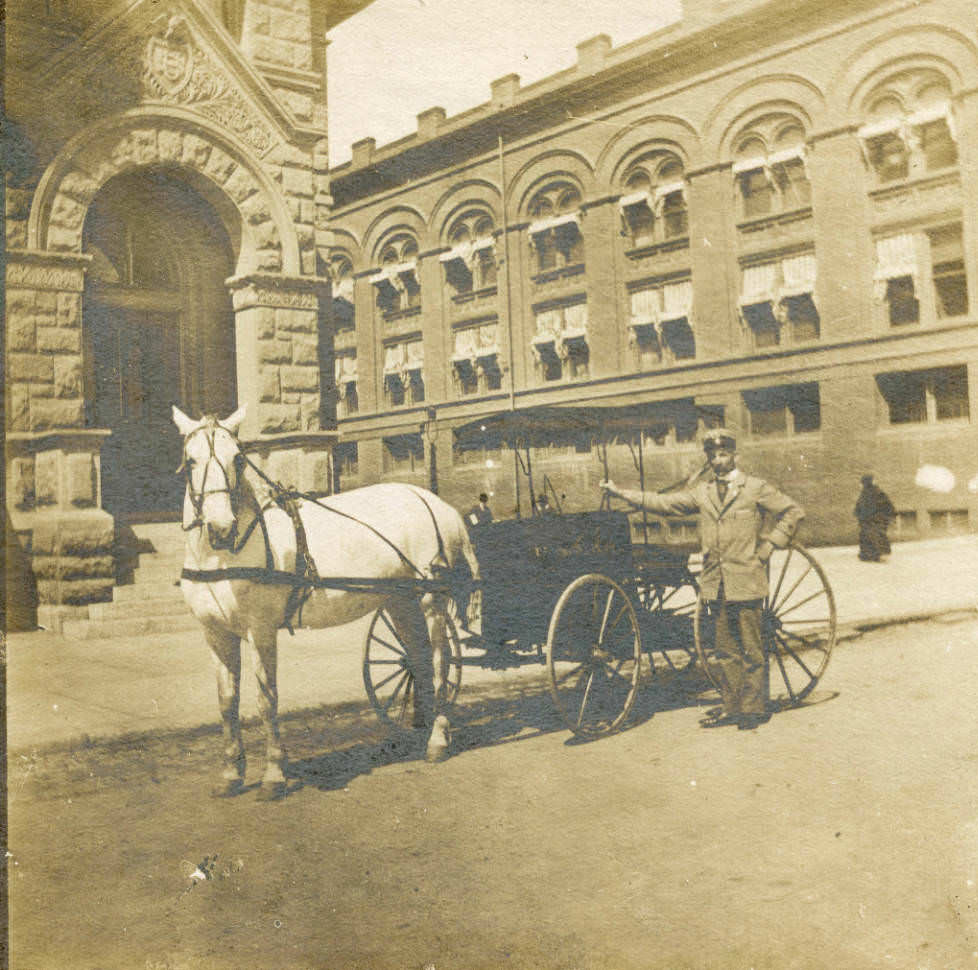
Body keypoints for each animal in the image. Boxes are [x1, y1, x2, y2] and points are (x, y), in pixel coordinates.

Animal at [176, 404, 484, 796]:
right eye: (191, 460)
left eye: (238, 459)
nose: (220, 527)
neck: (221, 556)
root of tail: (434, 502)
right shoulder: (216, 634)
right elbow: (226, 702)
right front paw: (231, 774)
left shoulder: (261, 630)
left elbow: (266, 699)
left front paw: (274, 774)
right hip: (400, 600)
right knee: (419, 659)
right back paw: (421, 728)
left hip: (431, 598)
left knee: (441, 661)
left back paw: (438, 739)